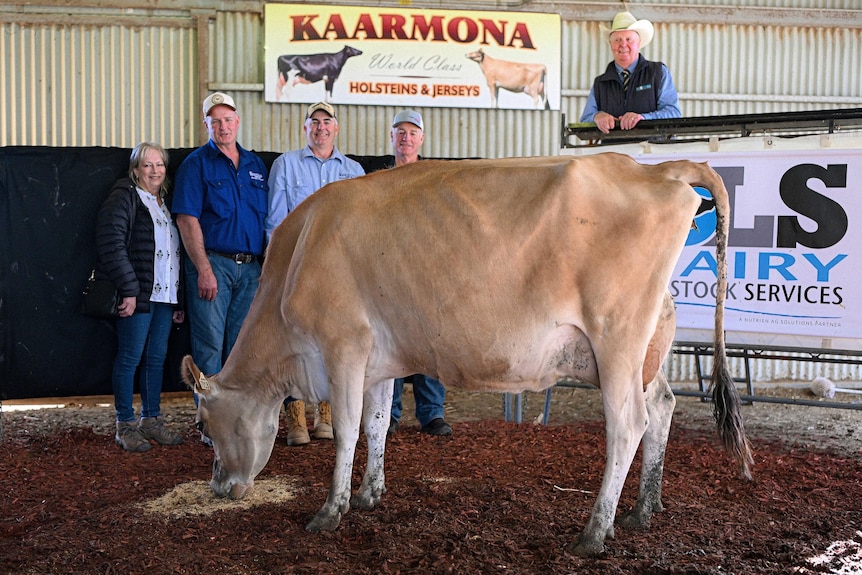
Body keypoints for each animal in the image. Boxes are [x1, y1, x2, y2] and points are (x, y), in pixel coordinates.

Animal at [182, 153, 753, 557]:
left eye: (205, 427)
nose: (218, 488)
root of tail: (651, 167)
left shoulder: (343, 344)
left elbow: (345, 430)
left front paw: (330, 511)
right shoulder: (378, 360)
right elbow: (376, 424)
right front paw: (369, 494)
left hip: (616, 336)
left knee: (629, 423)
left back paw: (595, 531)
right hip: (646, 346)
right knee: (661, 406)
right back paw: (642, 510)